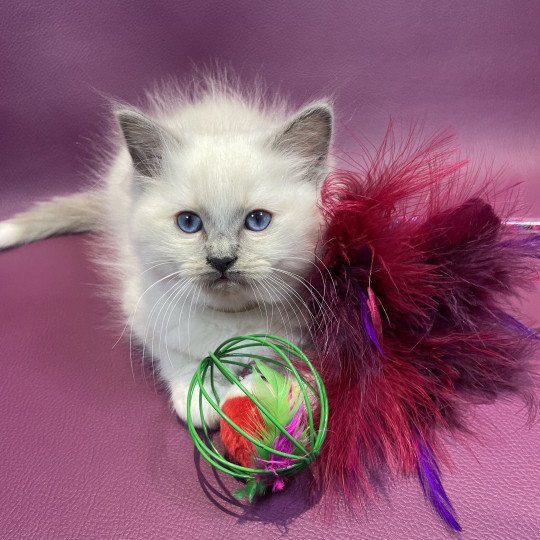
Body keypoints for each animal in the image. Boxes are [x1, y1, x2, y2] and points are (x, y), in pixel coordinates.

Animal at [0, 79, 334, 426]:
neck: (230, 318)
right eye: (189, 223)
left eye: (257, 221)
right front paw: (199, 397)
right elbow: (178, 357)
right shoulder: (145, 312)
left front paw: (260, 397)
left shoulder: (312, 332)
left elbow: (293, 369)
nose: (221, 260)